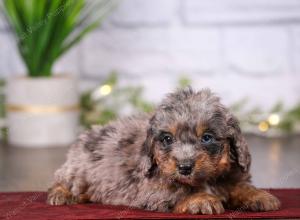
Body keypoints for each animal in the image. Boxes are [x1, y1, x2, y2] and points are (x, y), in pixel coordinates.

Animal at [48, 87, 280, 213]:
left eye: (206, 137)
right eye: (167, 139)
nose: (185, 167)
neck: (207, 179)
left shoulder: (231, 176)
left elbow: (240, 187)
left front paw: (259, 196)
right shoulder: (149, 188)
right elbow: (179, 192)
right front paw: (202, 199)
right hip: (79, 171)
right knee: (61, 181)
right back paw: (60, 194)